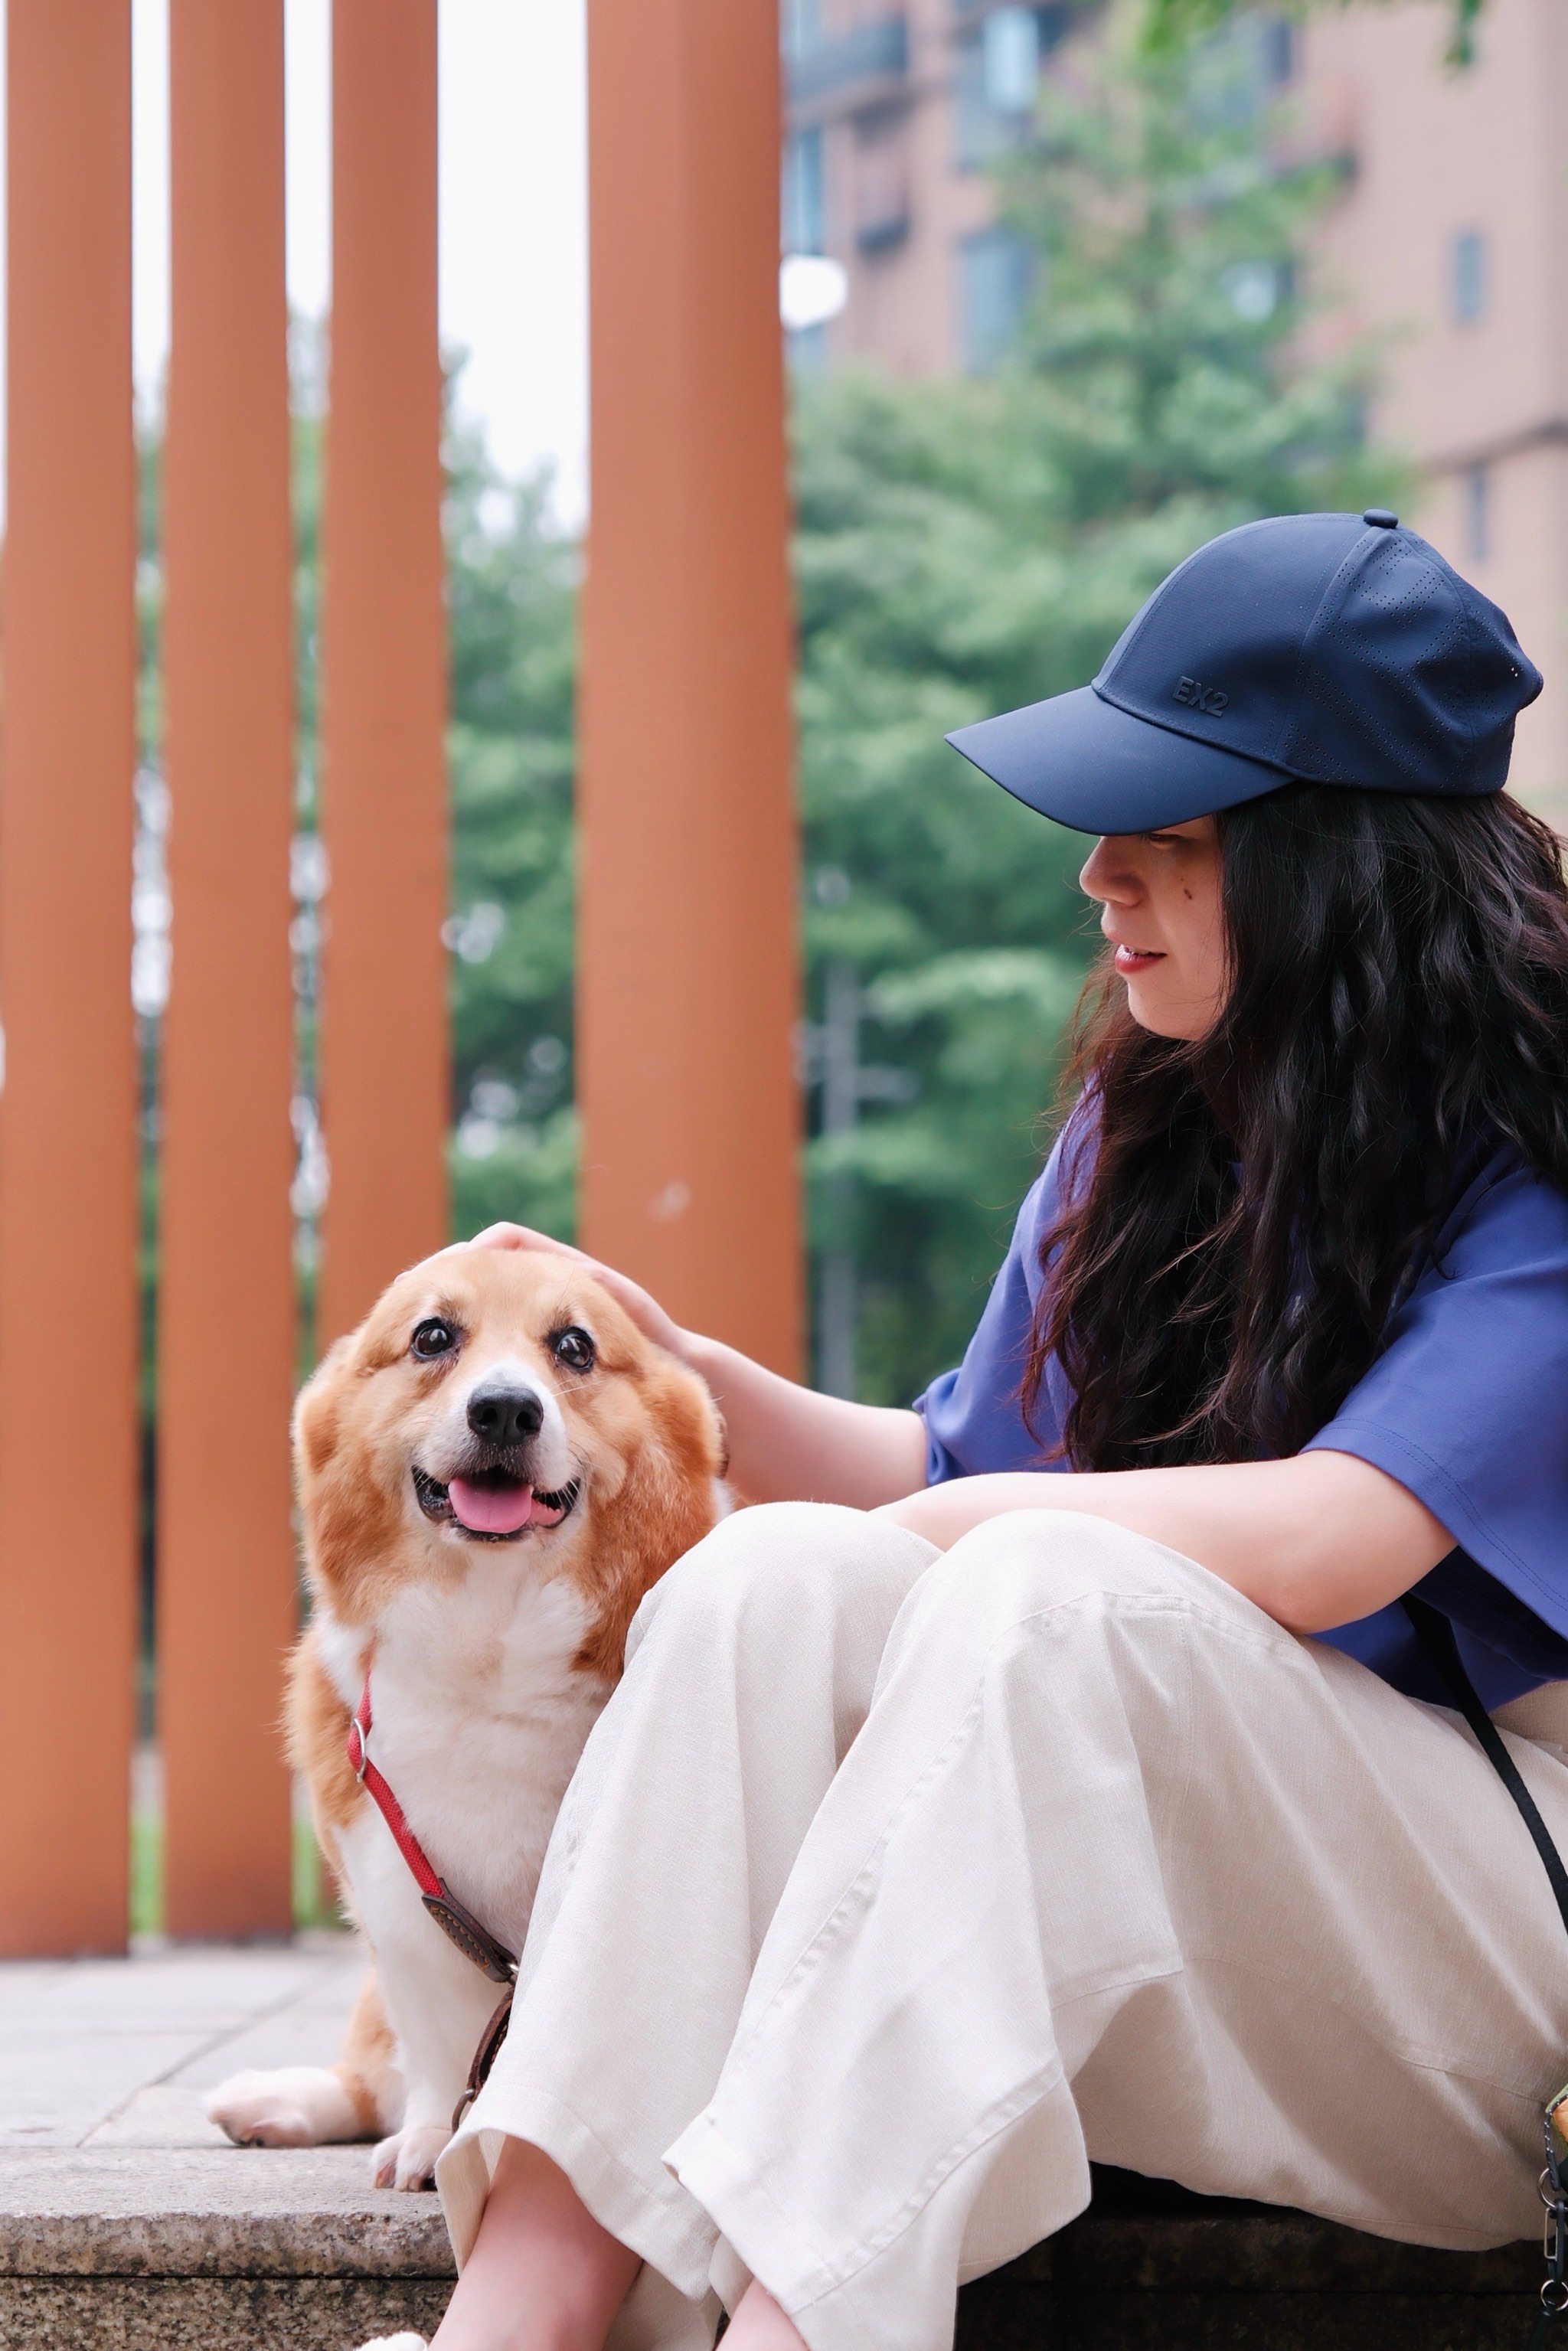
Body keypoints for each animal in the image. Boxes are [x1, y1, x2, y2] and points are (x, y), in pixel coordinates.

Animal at [205, 1250, 728, 2181]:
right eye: (432, 1336)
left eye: (575, 1345)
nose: (506, 1408)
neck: (489, 1650)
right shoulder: (403, 1902)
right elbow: (440, 2043)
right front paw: (430, 2147)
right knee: (371, 2073)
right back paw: (267, 2103)